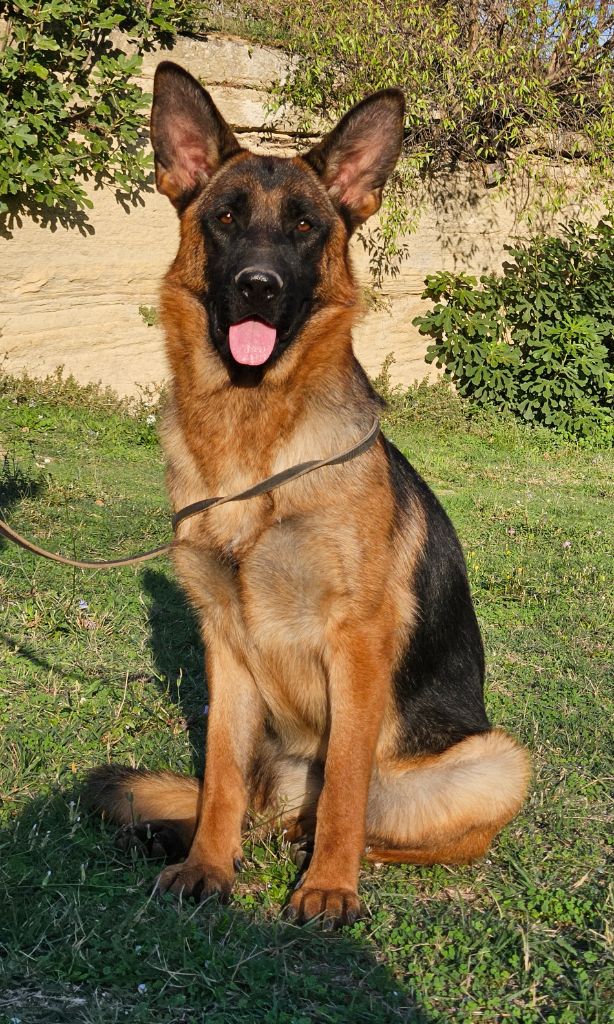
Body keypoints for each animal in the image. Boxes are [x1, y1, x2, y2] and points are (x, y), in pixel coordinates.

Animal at [84, 59, 528, 933]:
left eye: (303, 228)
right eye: (225, 217)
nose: (257, 287)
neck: (253, 445)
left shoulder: (356, 643)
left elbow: (348, 784)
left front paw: (327, 887)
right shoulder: (225, 644)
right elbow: (219, 776)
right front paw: (208, 866)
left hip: (498, 761)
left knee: (402, 825)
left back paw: (344, 854)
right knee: (256, 802)